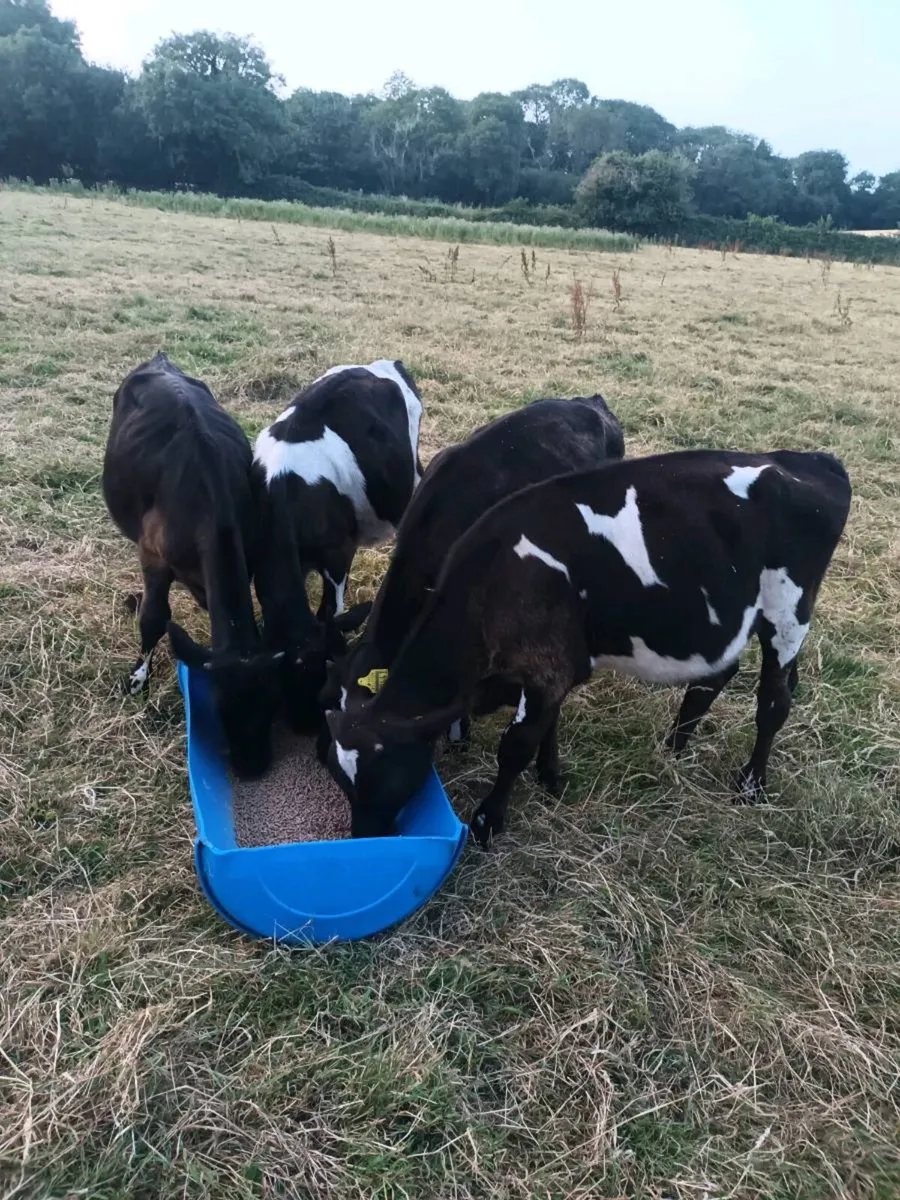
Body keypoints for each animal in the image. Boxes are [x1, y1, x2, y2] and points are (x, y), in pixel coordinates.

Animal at [102, 353, 281, 779]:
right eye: (220, 708)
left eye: (274, 705)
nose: (253, 768)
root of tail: (159, 359)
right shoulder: (153, 558)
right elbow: (154, 617)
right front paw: (139, 677)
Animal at [251, 360, 422, 732]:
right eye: (282, 683)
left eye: (324, 672)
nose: (306, 725)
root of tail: (380, 364)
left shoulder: (338, 556)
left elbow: (330, 611)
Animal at [325, 449, 851, 845]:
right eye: (341, 779)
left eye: (387, 775)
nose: (365, 838)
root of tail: (811, 461)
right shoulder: (550, 666)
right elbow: (547, 725)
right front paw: (551, 777)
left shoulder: (547, 666)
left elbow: (516, 745)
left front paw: (489, 820)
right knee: (718, 675)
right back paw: (675, 745)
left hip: (788, 610)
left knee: (774, 700)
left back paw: (752, 785)